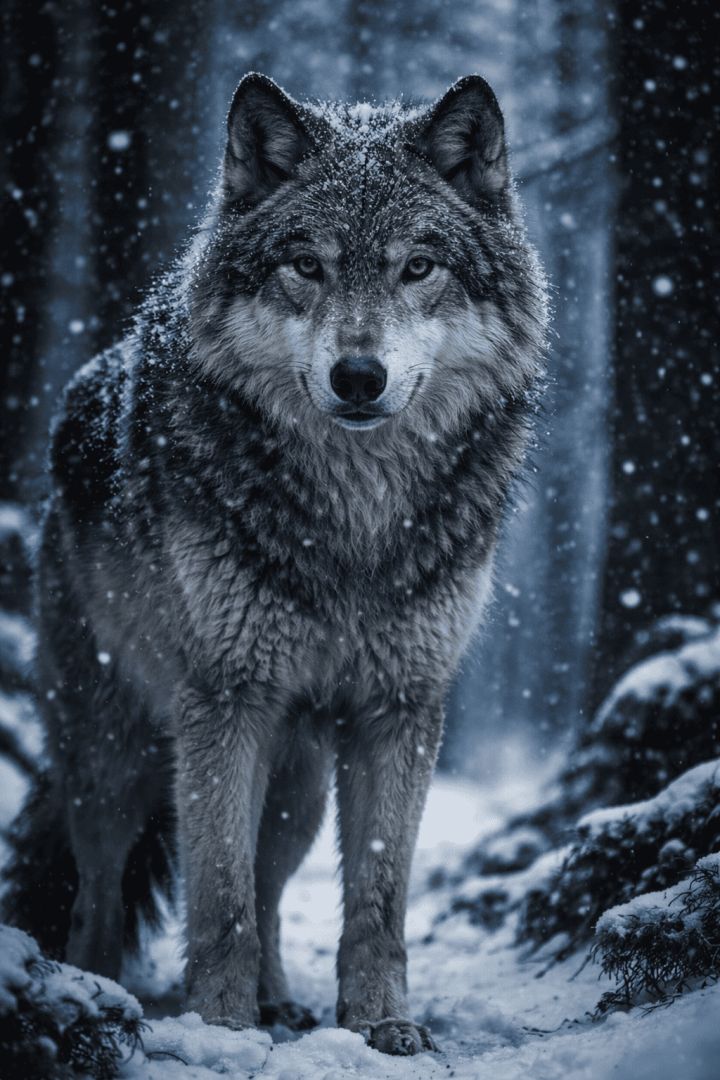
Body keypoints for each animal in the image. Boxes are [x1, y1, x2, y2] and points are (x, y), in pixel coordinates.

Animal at [3, 73, 547, 1055]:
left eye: (419, 267)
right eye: (307, 265)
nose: (359, 376)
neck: (356, 521)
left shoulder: (399, 708)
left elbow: (376, 901)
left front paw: (381, 1024)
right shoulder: (224, 703)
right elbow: (215, 897)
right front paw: (218, 1031)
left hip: (295, 783)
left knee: (268, 876)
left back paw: (280, 1003)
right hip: (115, 757)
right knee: (103, 889)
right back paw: (99, 990)